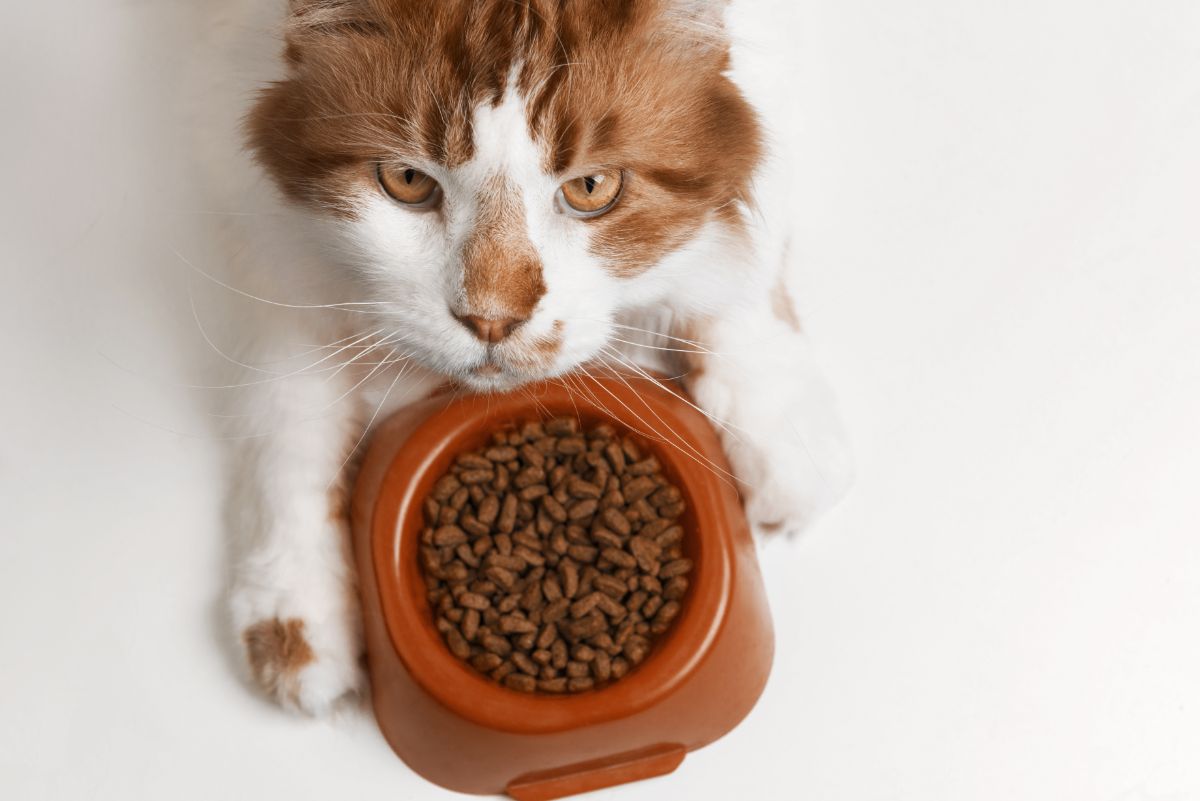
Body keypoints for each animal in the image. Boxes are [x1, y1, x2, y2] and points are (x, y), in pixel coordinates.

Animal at [199, 0, 854, 714]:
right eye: (407, 181)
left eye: (593, 187)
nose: (492, 319)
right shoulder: (262, 243)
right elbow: (287, 428)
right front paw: (295, 617)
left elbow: (740, 268)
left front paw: (780, 444)